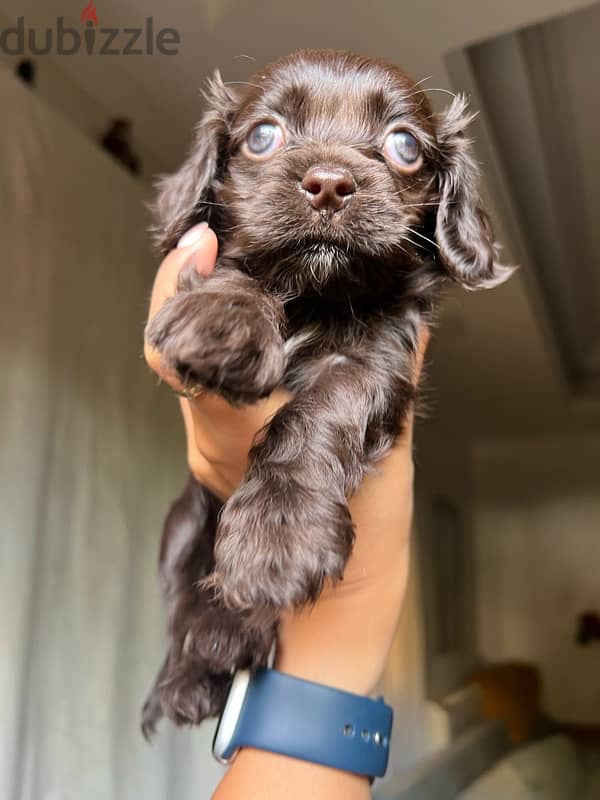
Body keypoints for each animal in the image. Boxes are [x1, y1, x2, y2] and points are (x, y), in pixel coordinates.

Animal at [139, 48, 510, 736]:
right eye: (263, 136)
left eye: (405, 146)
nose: (330, 182)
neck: (320, 296)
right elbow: (238, 269)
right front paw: (223, 316)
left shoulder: (383, 358)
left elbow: (326, 405)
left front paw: (279, 533)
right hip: (180, 524)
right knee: (183, 603)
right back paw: (185, 677)